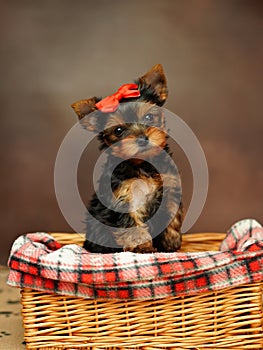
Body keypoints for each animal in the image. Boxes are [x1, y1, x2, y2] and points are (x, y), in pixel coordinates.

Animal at [71, 64, 185, 253]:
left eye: (148, 117)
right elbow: (132, 226)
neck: (143, 164)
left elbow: (172, 217)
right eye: (118, 131)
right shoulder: (123, 198)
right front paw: (143, 248)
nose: (142, 139)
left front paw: (171, 243)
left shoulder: (170, 187)